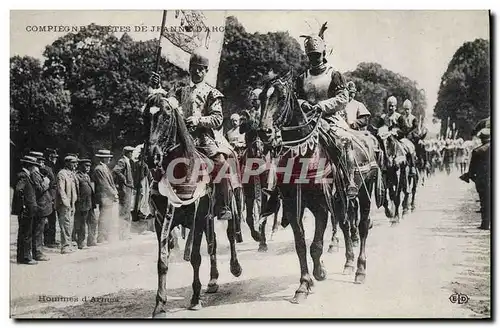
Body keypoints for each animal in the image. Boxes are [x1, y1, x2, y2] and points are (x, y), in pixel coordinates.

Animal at [142, 92, 243, 318]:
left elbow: (196, 257)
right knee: (213, 242)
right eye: (145, 116)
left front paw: (195, 298)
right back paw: (213, 280)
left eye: (166, 115)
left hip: (229, 207)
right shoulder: (161, 222)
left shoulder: (198, 216)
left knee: (231, 235)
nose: (152, 157)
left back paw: (235, 267)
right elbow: (162, 261)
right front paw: (159, 304)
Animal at [258, 70, 378, 302]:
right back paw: (349, 263)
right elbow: (301, 244)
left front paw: (316, 275)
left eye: (281, 97)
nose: (264, 132)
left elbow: (316, 245)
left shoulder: (322, 204)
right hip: (340, 200)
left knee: (362, 226)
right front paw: (305, 282)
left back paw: (360, 269)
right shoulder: (293, 205)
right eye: (260, 98)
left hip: (364, 192)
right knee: (345, 224)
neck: (304, 154)